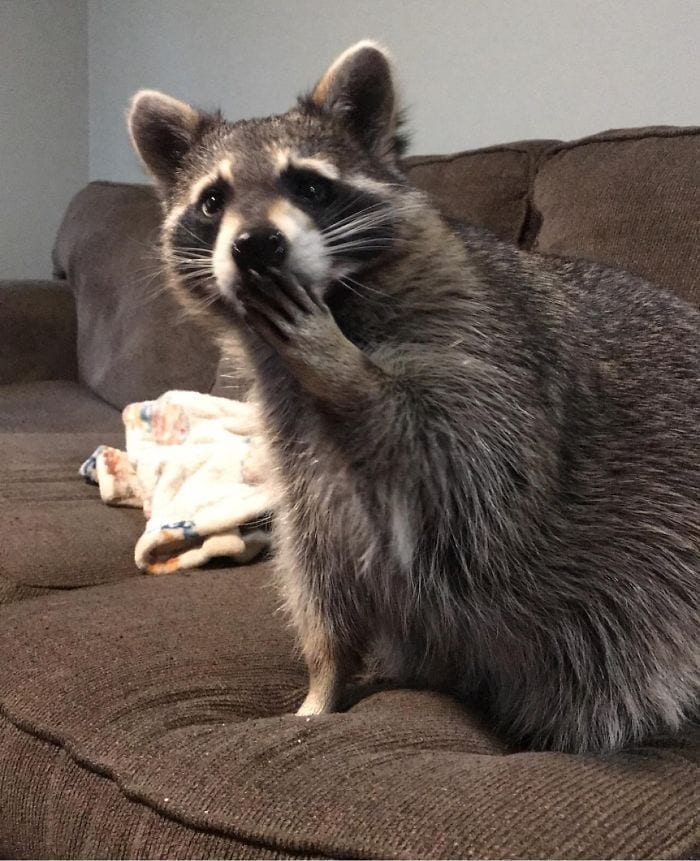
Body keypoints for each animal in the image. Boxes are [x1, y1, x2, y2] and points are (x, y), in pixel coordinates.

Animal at [128, 41, 699, 753]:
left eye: (308, 186)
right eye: (212, 201)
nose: (256, 245)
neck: (341, 296)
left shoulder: (494, 351)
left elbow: (463, 464)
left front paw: (343, 370)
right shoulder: (301, 459)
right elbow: (321, 578)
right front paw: (324, 680)